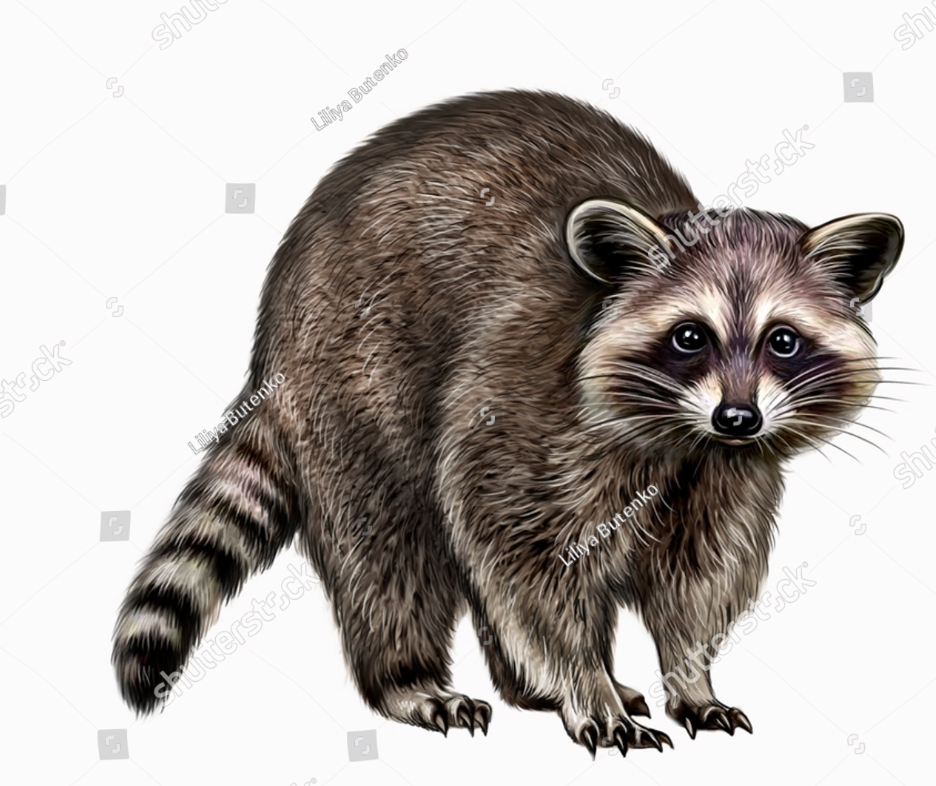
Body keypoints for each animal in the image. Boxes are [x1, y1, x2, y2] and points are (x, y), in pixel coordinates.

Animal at [112, 89, 903, 757]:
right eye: (689, 337)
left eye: (783, 341)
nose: (738, 415)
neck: (684, 437)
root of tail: (271, 338)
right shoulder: (521, 403)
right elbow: (526, 559)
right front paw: (585, 687)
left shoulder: (730, 474)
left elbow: (699, 579)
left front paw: (690, 676)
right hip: (353, 373)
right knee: (391, 545)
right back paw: (409, 678)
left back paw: (531, 684)